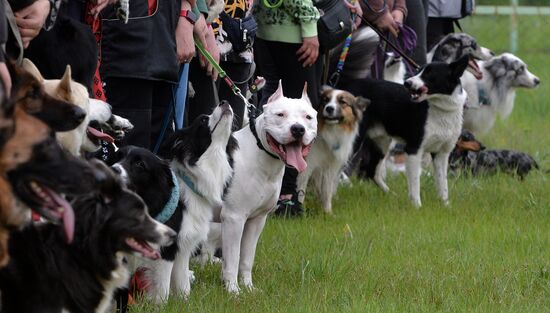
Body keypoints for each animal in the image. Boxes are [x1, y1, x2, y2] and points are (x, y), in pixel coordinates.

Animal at [114, 101, 237, 298]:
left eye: (139, 163)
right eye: (203, 120)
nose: (224, 102)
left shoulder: (184, 243)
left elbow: (182, 281)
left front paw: (184, 299)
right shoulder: (167, 245)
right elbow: (162, 286)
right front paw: (160, 303)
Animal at [221, 81, 316, 292]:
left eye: (308, 117)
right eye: (280, 114)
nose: (298, 129)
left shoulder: (256, 220)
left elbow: (247, 257)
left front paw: (248, 287)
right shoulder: (234, 218)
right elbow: (233, 258)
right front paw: (233, 290)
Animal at [350, 55, 470, 207]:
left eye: (429, 73)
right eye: (418, 71)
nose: (407, 83)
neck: (440, 109)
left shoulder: (441, 153)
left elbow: (443, 183)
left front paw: (445, 205)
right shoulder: (414, 149)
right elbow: (415, 182)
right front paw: (417, 206)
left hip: (382, 143)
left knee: (372, 171)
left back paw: (391, 195)